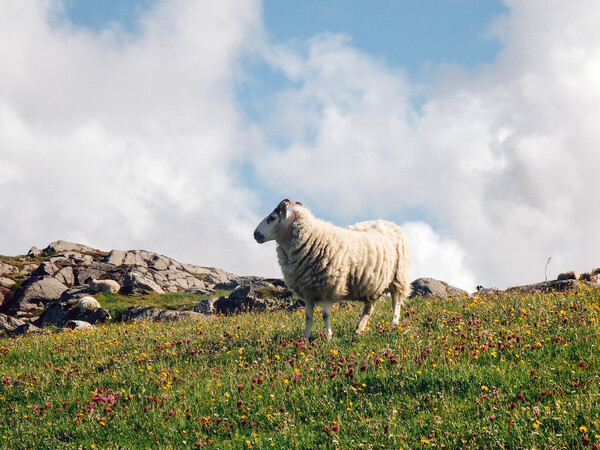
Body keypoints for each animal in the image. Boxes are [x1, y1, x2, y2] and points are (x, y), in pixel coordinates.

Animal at [251, 199, 410, 340]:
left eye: (272, 218)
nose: (255, 234)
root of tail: (389, 223)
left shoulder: (329, 287)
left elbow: (325, 315)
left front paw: (328, 336)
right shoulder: (308, 291)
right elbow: (308, 316)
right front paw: (305, 337)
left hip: (398, 276)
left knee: (396, 301)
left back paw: (393, 323)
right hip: (371, 284)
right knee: (369, 309)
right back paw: (359, 329)